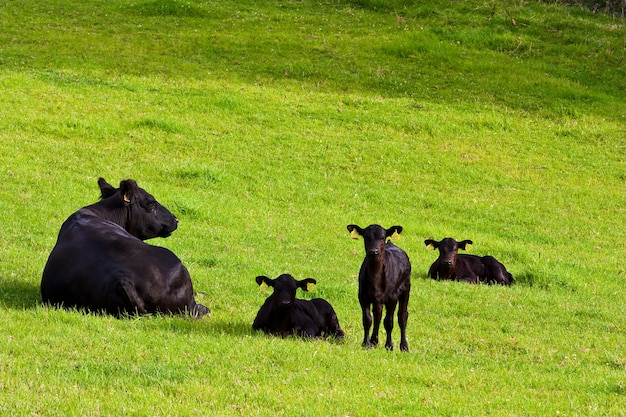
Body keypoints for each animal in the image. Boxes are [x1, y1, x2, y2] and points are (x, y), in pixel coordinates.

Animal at [346, 224, 410, 352]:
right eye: (366, 237)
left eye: (382, 238)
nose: (373, 251)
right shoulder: (363, 296)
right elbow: (367, 319)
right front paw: (366, 343)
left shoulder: (392, 298)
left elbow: (389, 321)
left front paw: (389, 345)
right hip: (378, 299)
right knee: (377, 315)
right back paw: (374, 340)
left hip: (405, 290)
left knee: (402, 316)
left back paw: (404, 346)